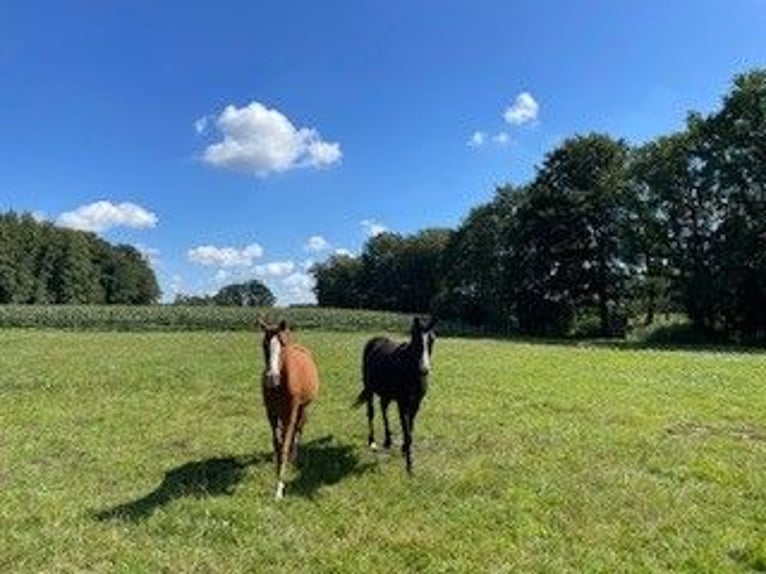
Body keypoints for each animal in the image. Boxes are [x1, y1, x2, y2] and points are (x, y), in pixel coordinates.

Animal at [258, 319, 319, 499]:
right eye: (264, 344)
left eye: (283, 345)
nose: (271, 378)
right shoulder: (271, 413)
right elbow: (277, 443)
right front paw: (278, 469)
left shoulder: (291, 411)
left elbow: (285, 444)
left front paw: (279, 486)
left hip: (303, 407)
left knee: (298, 428)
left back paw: (294, 456)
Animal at [354, 317, 437, 473]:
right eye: (415, 339)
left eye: (432, 339)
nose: (424, 369)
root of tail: (375, 340)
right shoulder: (402, 403)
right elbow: (406, 430)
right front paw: (409, 465)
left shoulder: (416, 403)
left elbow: (410, 428)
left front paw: (405, 449)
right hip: (369, 389)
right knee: (371, 413)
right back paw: (372, 441)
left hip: (386, 393)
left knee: (383, 409)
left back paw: (388, 441)